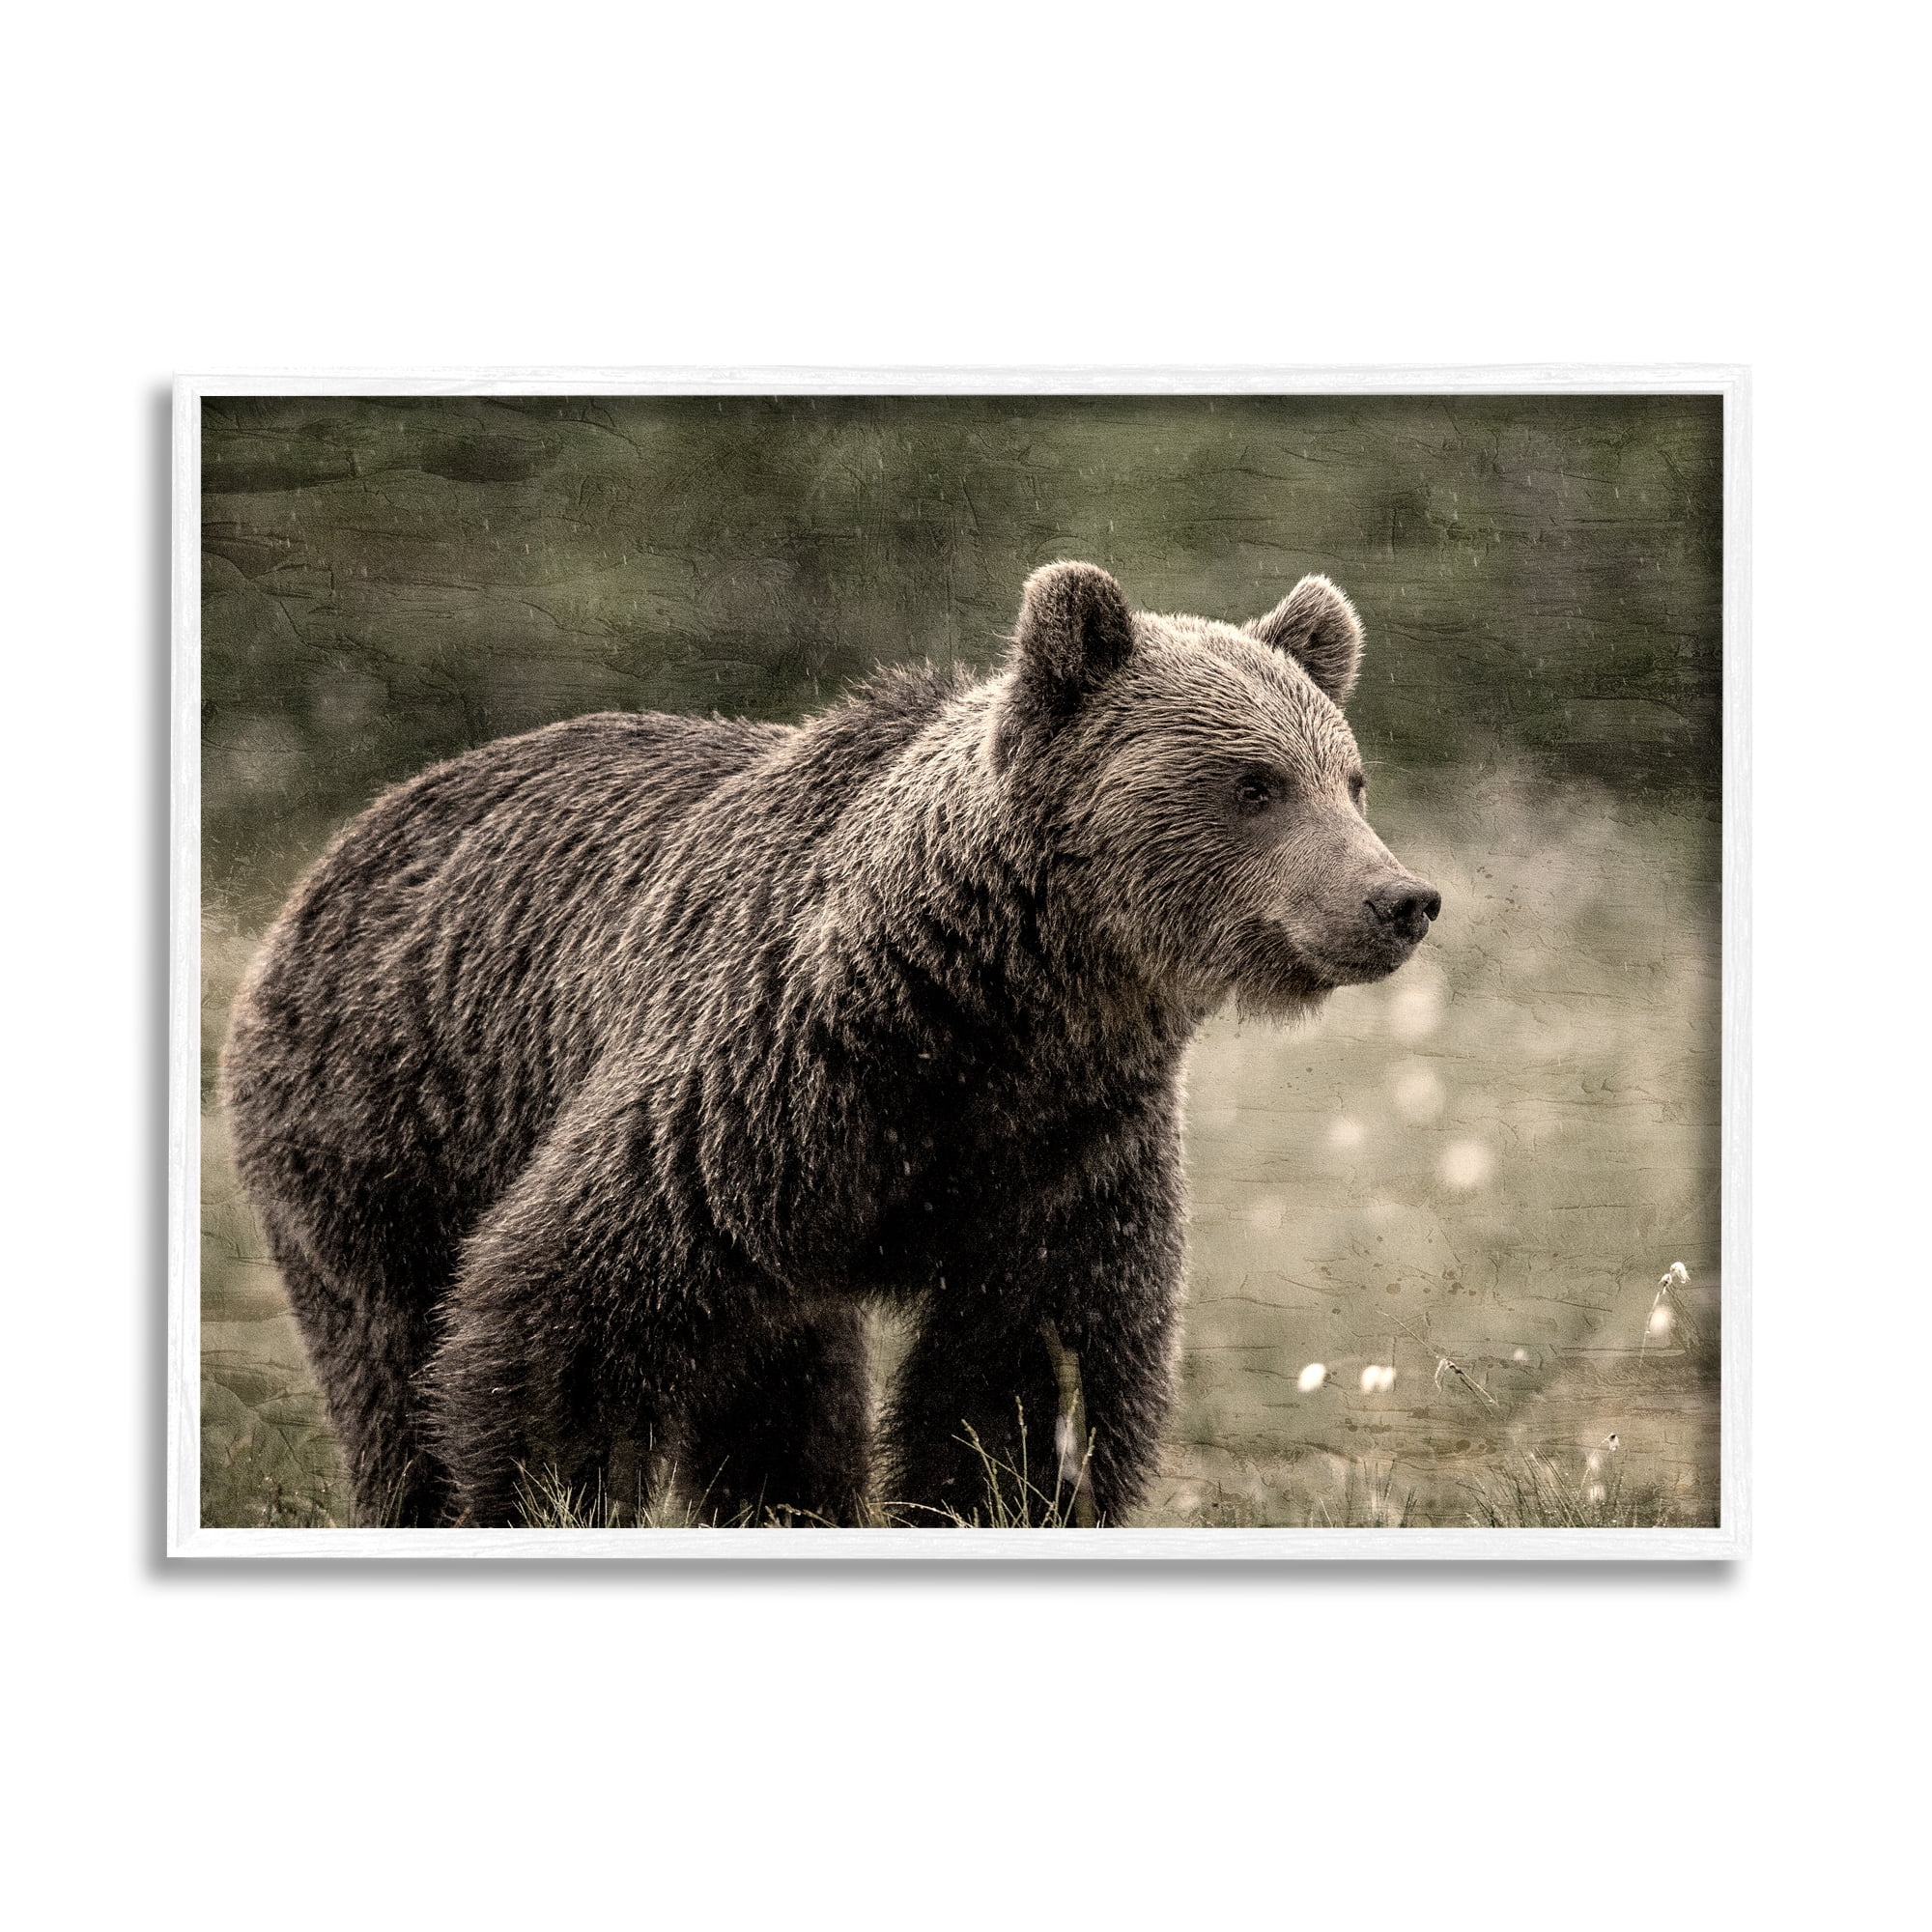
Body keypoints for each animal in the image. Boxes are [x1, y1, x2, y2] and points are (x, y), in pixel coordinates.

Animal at [223, 562, 1441, 1528]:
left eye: (1349, 776)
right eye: (1253, 784)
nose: (1399, 899)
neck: (997, 1007)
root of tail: (351, 834)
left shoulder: (1065, 1148)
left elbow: (1023, 1374)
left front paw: (997, 1497)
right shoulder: (763, 1087)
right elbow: (564, 1314)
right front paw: (542, 1495)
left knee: (783, 1387)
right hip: (387, 1124)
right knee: (392, 1354)